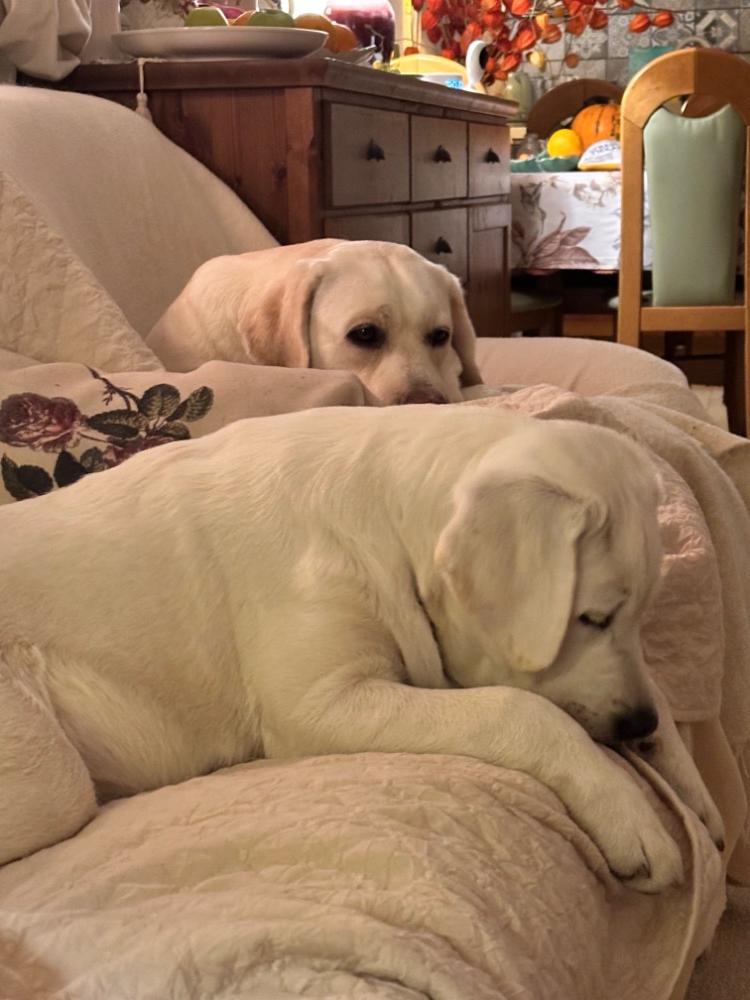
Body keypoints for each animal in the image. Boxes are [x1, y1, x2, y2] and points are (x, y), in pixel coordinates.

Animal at [0, 405, 723, 885]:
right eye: (592, 618)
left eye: (638, 615)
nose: (636, 725)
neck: (385, 516)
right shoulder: (320, 703)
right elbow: (519, 709)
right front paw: (626, 808)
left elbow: (651, 688)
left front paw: (692, 782)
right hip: (49, 774)